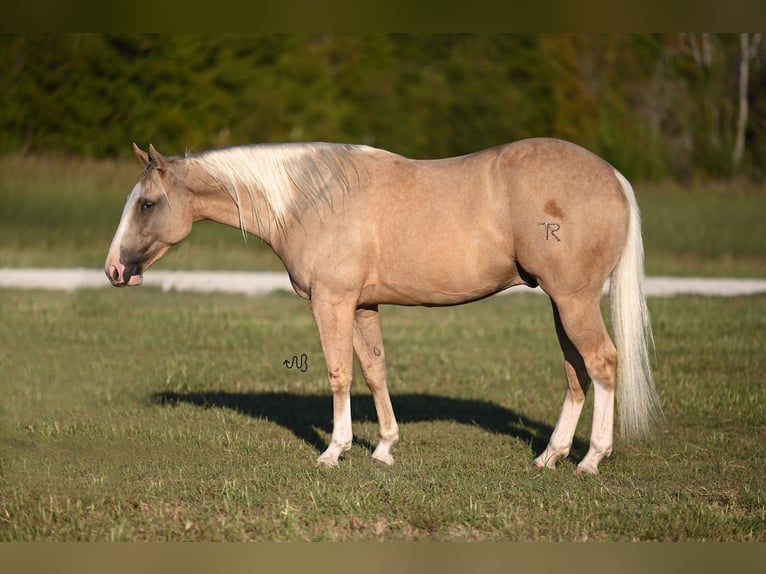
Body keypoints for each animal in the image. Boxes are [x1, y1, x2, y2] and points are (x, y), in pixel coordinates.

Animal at [105, 140, 664, 476]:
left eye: (147, 204)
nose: (114, 270)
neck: (312, 199)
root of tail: (613, 176)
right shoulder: (363, 305)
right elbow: (374, 372)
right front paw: (384, 448)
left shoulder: (331, 302)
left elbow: (338, 374)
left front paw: (334, 451)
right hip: (562, 304)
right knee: (577, 372)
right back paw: (550, 456)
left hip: (573, 301)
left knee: (602, 363)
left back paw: (591, 460)